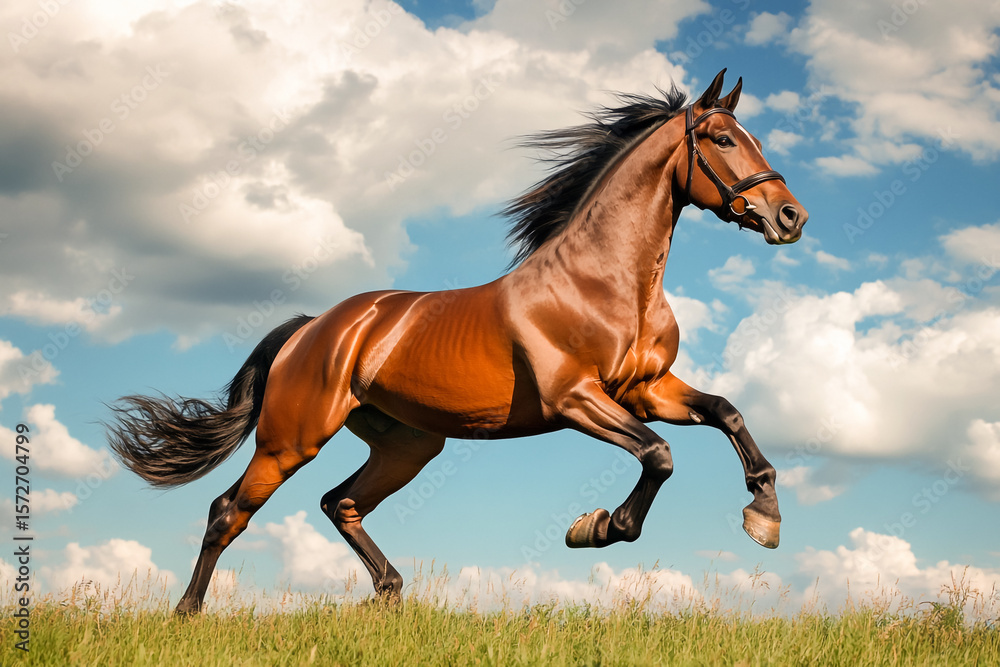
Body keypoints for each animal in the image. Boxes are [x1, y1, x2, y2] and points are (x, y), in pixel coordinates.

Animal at [108, 69, 808, 614]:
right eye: (723, 139)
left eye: (755, 138)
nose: (790, 216)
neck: (606, 280)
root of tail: (313, 327)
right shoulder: (575, 399)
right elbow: (659, 455)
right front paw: (598, 528)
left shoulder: (646, 390)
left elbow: (726, 412)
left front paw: (765, 515)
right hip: (290, 439)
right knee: (228, 511)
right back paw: (187, 613)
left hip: (409, 445)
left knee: (340, 502)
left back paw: (390, 592)